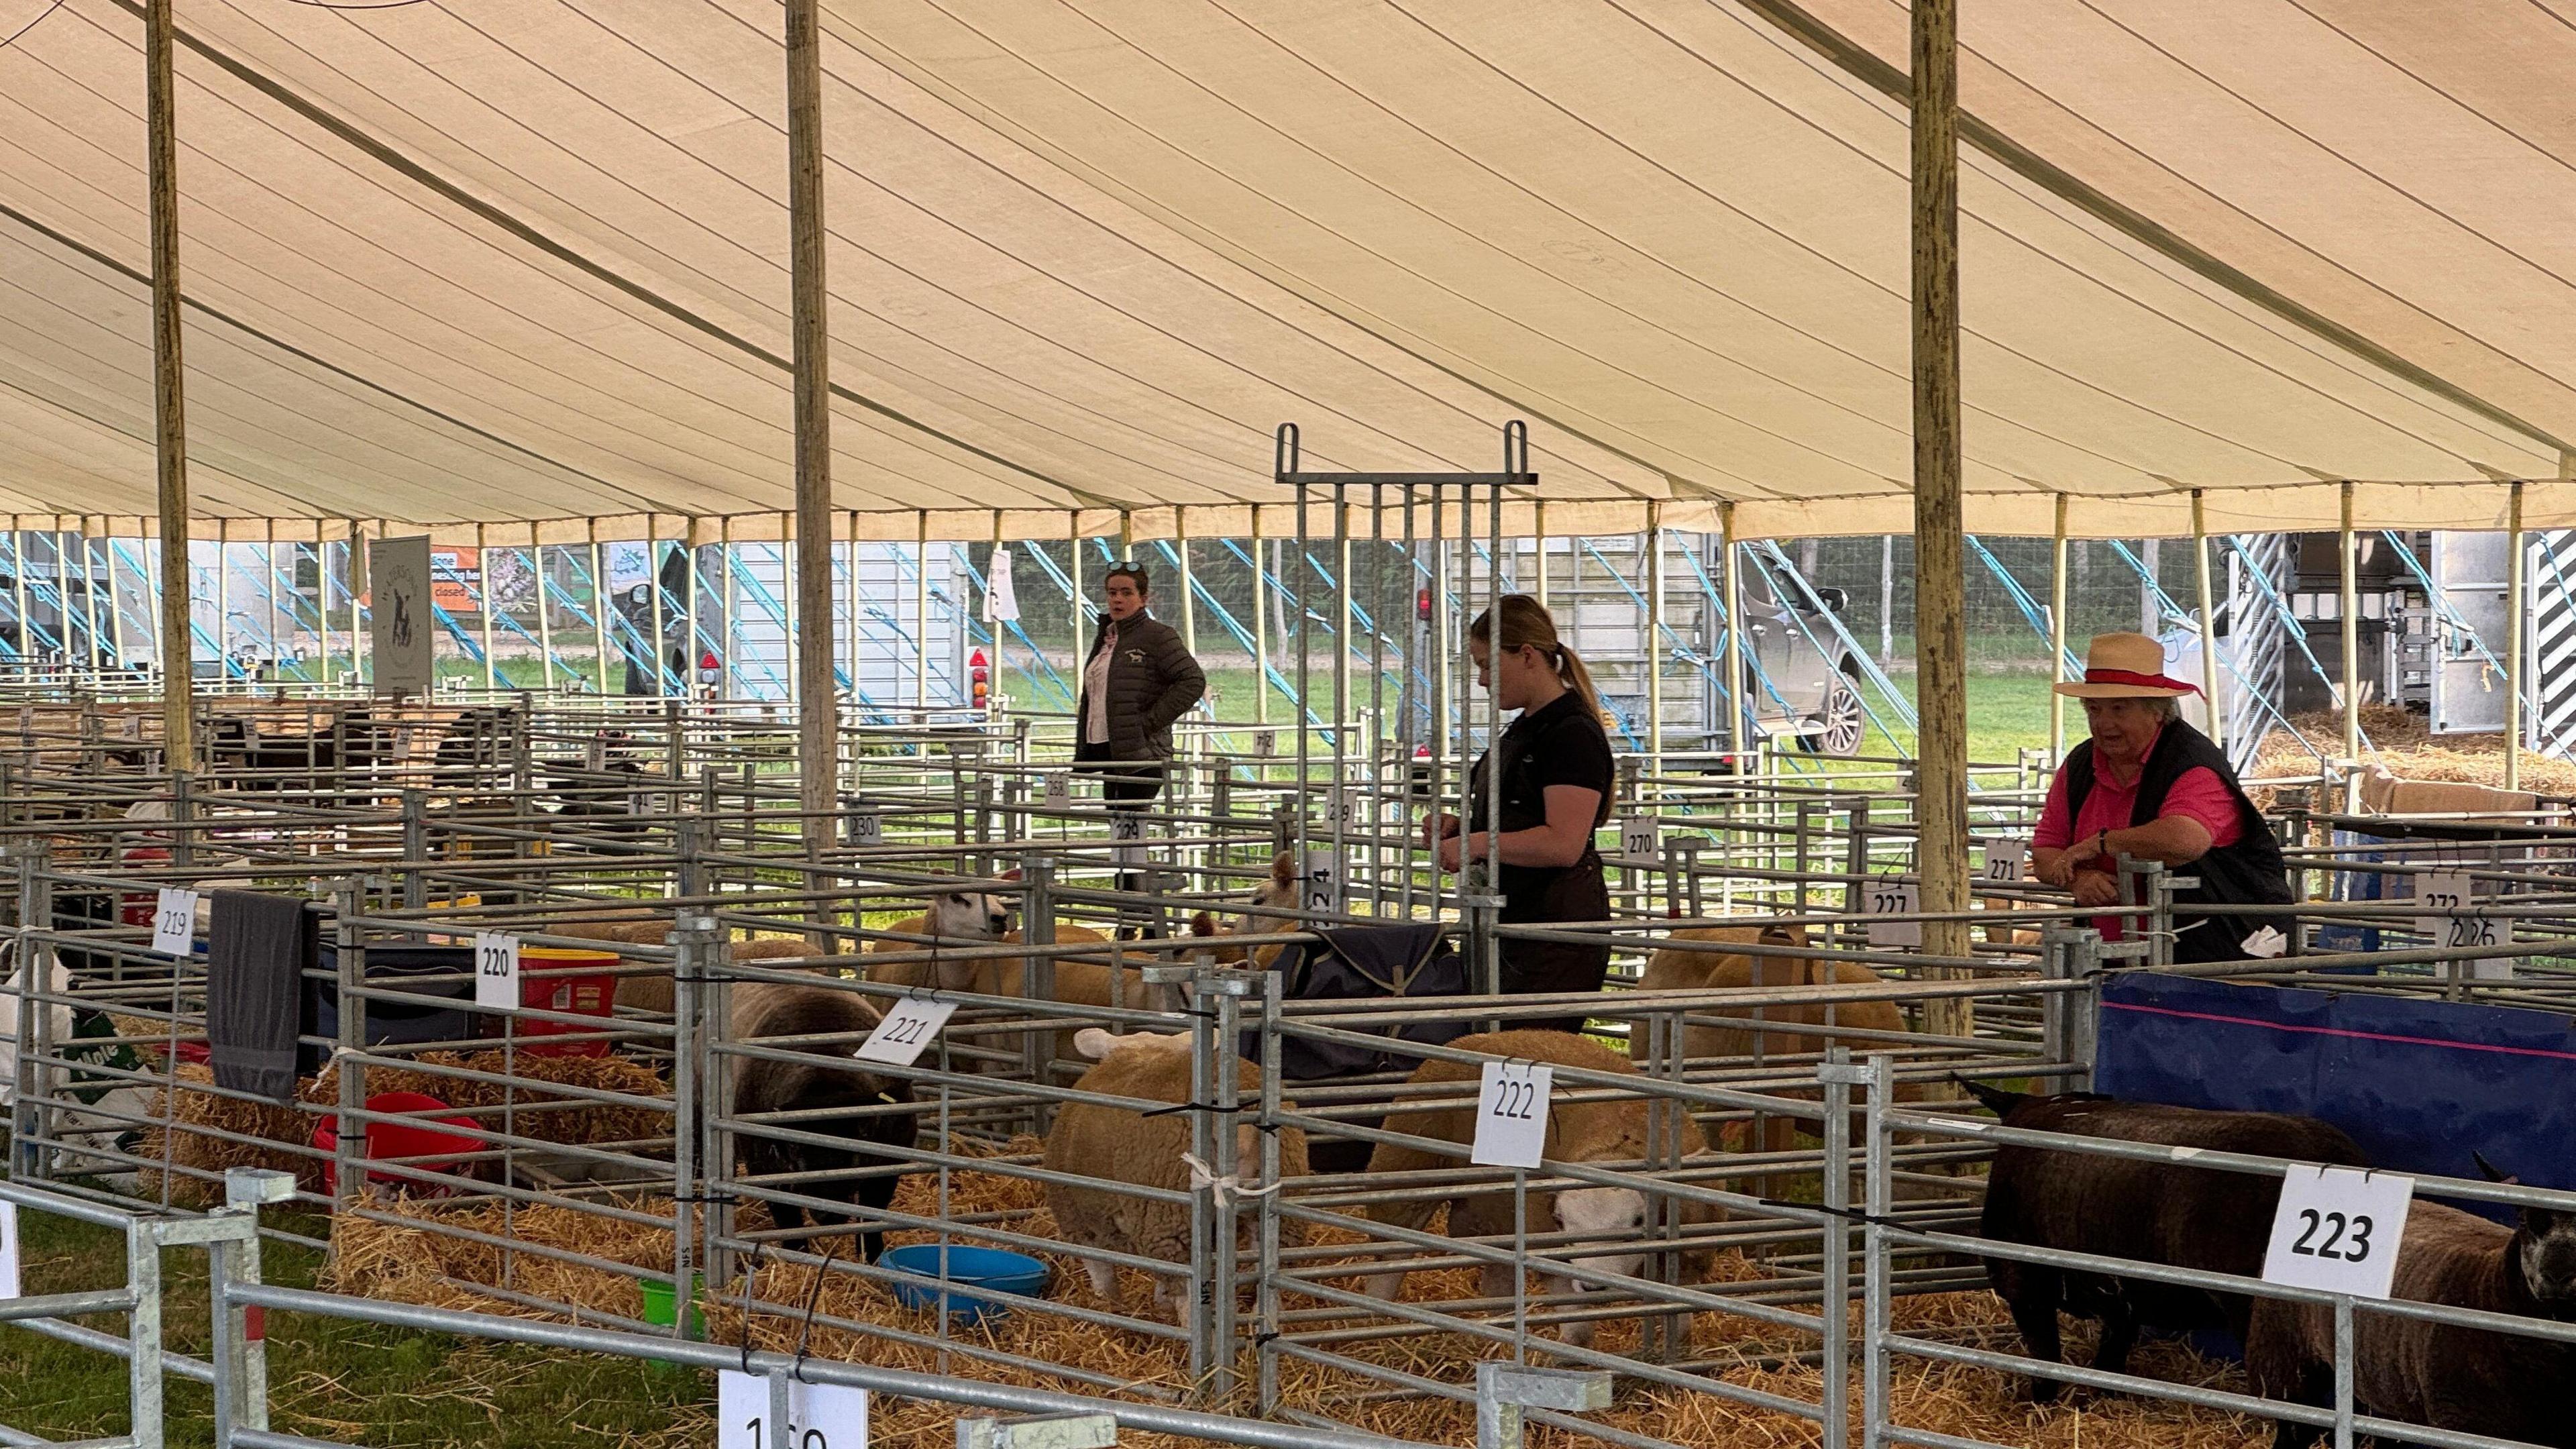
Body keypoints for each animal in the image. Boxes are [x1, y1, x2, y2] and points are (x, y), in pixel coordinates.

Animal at [726, 974, 917, 1258]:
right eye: (794, 1145)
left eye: (862, 1135)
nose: (828, 1214)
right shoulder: (764, 1167)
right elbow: (787, 1216)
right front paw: (796, 1254)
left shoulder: (890, 1163)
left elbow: (873, 1214)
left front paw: (871, 1256)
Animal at [1035, 1020, 1308, 1315]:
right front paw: (1159, 1300)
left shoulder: (1076, 1217)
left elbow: (1100, 1270)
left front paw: (1107, 1303)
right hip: (1280, 1212)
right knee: (1266, 1278)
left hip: (1169, 1217)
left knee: (1187, 1293)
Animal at [1360, 1026, 1721, 1340]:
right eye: (1560, 1221)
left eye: (1638, 1220)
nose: (1592, 1288)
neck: (1613, 1146)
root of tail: (1478, 1037)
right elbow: (1578, 1333)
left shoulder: (1688, 1258)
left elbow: (1680, 1324)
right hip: (1405, 1174)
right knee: (1390, 1262)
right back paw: (1377, 1319)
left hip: (1494, 1213)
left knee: (1497, 1280)